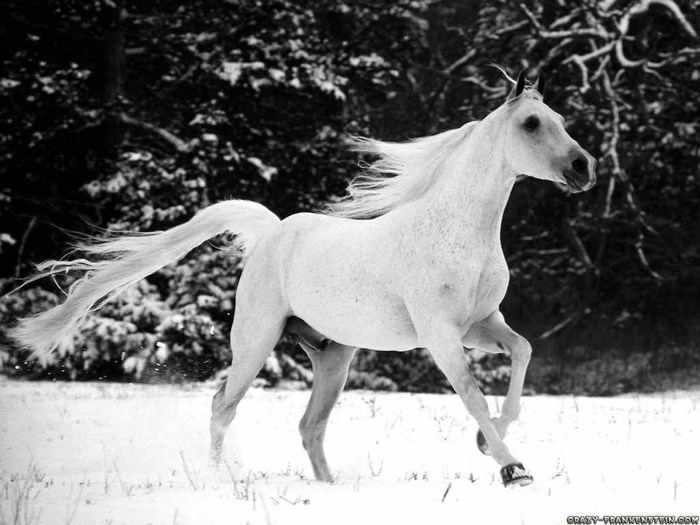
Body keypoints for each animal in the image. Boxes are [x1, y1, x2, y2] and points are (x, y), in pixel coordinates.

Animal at [10, 69, 596, 486]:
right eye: (531, 124)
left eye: (561, 118)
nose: (584, 168)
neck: (456, 232)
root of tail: (272, 233)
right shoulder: (441, 336)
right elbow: (472, 394)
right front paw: (511, 468)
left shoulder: (482, 324)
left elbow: (522, 353)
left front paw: (484, 442)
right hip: (255, 341)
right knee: (223, 406)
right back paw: (219, 481)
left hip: (334, 357)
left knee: (309, 427)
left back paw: (329, 489)